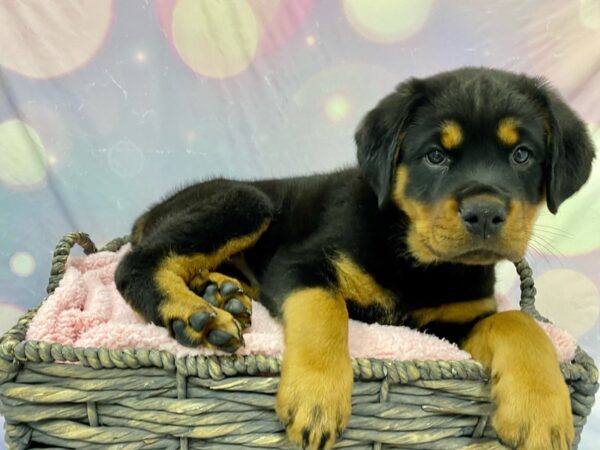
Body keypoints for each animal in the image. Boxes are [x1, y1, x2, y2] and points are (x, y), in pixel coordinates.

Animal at [113, 67, 596, 450]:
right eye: (435, 156)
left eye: (522, 155)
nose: (484, 214)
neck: (414, 258)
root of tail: (149, 213)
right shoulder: (298, 264)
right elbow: (326, 309)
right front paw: (318, 397)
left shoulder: (453, 323)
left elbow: (519, 323)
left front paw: (542, 413)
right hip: (247, 200)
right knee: (133, 265)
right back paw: (198, 314)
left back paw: (221, 293)